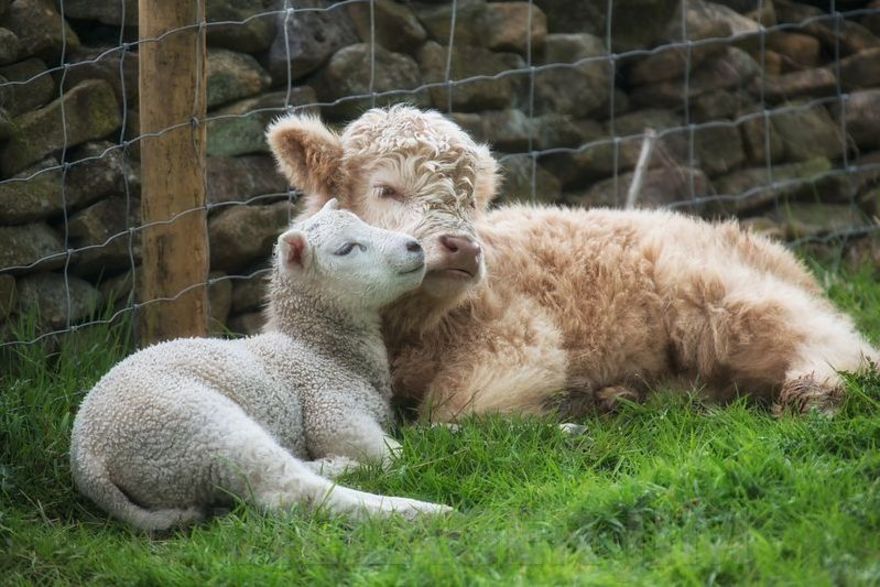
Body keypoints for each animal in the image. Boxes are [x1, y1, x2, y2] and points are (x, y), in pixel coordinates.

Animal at [68, 199, 450, 532]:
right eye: (346, 249)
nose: (415, 246)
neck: (318, 350)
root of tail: (88, 459)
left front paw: (443, 430)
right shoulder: (329, 408)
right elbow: (395, 454)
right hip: (198, 430)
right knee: (290, 492)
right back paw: (417, 510)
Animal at [264, 107, 876, 422]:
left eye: (470, 199)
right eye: (385, 189)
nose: (462, 248)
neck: (411, 332)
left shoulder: (520, 340)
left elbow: (454, 413)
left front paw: (561, 407)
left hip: (719, 295)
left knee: (841, 343)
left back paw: (817, 389)